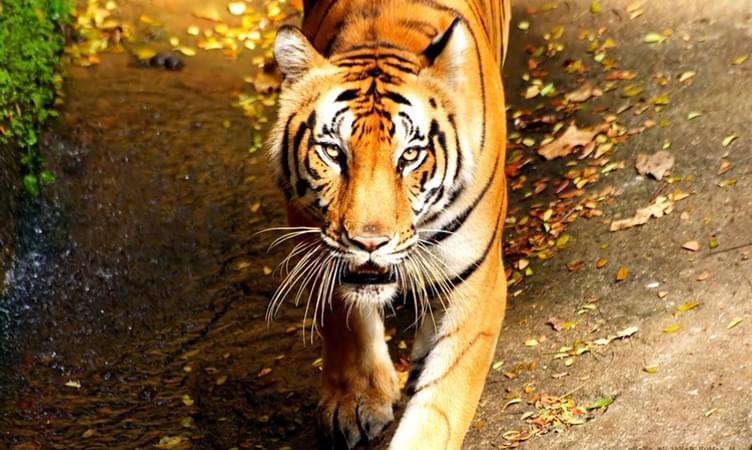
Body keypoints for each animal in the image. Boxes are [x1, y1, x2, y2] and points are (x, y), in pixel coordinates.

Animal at [267, 0, 511, 448]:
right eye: (333, 152)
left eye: (410, 155)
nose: (369, 243)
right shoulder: (310, 233)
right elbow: (343, 316)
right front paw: (355, 403)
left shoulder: (477, 280)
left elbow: (440, 405)